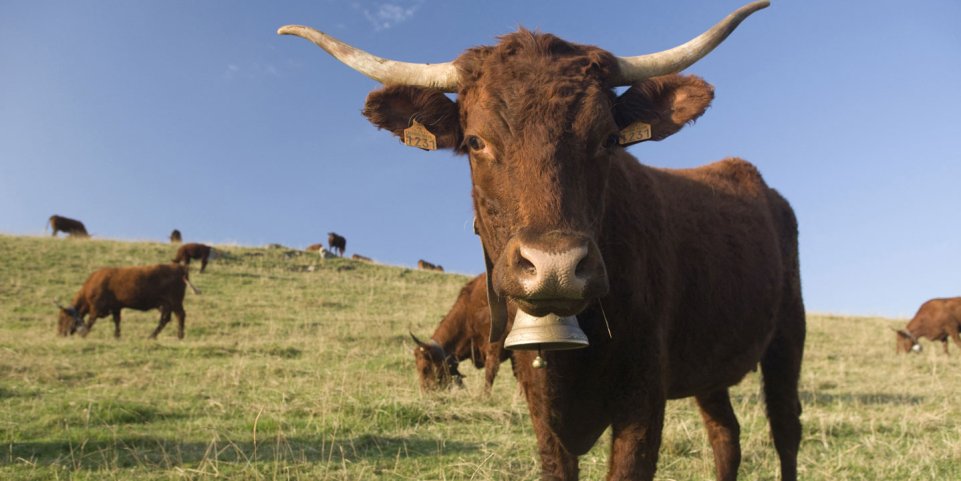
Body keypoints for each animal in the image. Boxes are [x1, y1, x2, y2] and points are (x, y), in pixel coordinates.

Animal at [55, 263, 199, 339]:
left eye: (62, 318)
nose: (60, 334)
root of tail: (178, 266)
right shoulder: (116, 308)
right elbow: (117, 321)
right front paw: (117, 336)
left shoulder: (96, 308)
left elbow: (90, 321)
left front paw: (84, 335)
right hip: (166, 304)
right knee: (165, 319)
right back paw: (152, 336)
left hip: (175, 302)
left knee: (180, 315)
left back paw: (179, 336)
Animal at [279, 2, 805, 480]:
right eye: (475, 141)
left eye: (609, 139)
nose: (555, 267)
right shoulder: (539, 403)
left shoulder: (643, 397)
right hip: (710, 368)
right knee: (725, 435)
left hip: (787, 338)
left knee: (785, 431)